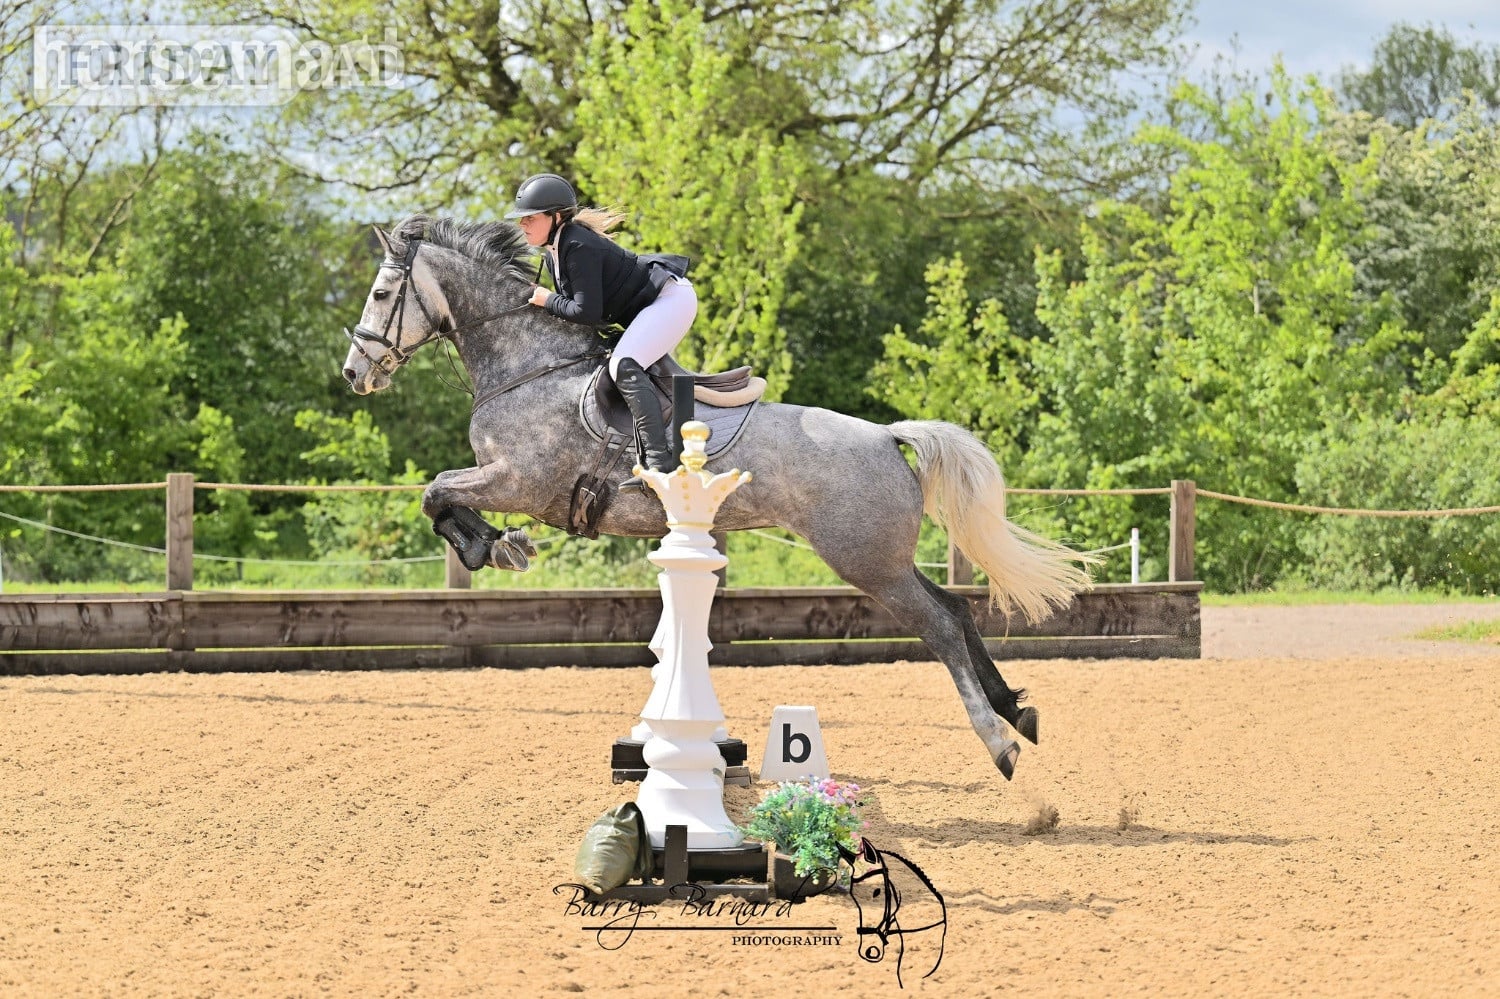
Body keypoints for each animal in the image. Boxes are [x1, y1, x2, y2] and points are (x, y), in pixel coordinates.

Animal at [339, 215, 1095, 780]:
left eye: (380, 295)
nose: (354, 374)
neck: (528, 364)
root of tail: (886, 436)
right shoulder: (506, 479)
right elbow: (438, 495)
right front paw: (497, 545)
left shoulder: (521, 480)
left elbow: (435, 493)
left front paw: (492, 547)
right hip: (883, 556)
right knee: (958, 611)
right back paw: (1017, 711)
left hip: (864, 559)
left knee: (937, 625)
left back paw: (999, 742)